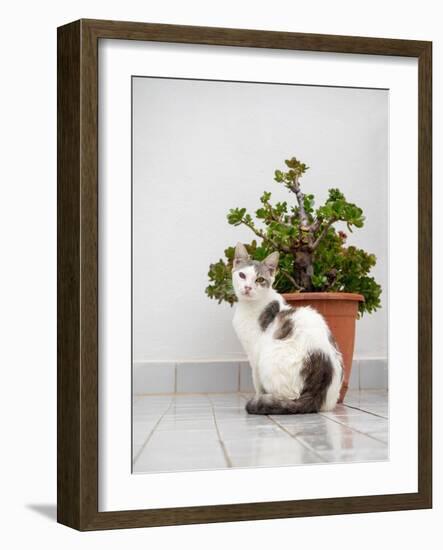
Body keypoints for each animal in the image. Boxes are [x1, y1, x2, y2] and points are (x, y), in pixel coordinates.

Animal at [232, 244, 344, 416]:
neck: (250, 305)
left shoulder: (254, 354)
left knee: (288, 397)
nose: (247, 287)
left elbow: (256, 382)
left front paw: (258, 396)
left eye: (260, 279)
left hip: (269, 360)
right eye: (242, 275)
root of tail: (316, 394)